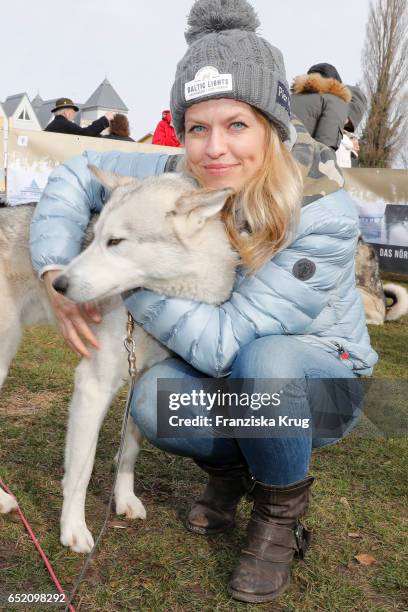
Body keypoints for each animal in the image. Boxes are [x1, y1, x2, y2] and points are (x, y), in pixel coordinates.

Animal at [0, 169, 237, 556]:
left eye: (115, 241)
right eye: (94, 237)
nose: (58, 283)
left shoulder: (141, 382)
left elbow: (129, 452)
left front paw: (123, 499)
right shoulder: (93, 386)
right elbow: (80, 472)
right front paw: (73, 530)